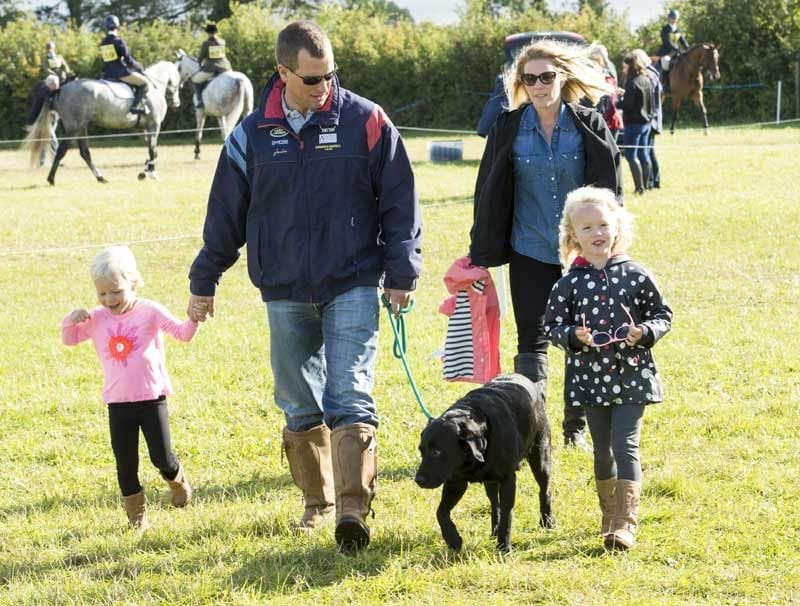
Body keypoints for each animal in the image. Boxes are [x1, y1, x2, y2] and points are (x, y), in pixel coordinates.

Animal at [25, 62, 182, 186]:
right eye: (179, 78)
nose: (176, 103)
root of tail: (60, 89)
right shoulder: (154, 125)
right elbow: (153, 150)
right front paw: (150, 174)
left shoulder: (142, 129)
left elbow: (152, 150)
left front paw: (145, 171)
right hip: (74, 128)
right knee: (62, 151)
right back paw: (51, 179)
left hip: (81, 127)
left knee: (85, 153)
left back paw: (100, 177)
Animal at [416, 372, 552, 552]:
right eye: (421, 451)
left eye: (437, 452)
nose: (418, 480)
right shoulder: (455, 481)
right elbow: (441, 512)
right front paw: (453, 539)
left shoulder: (508, 479)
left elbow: (507, 514)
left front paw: (504, 546)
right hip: (490, 481)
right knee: (495, 504)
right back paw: (494, 531)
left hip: (540, 458)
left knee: (544, 490)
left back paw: (547, 522)